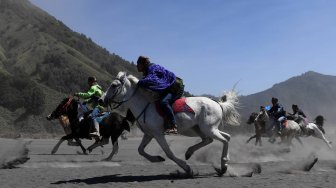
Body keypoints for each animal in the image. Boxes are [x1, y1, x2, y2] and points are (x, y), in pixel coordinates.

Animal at [101, 71, 240, 176]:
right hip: (200, 129)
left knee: (224, 140)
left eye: (114, 85)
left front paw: (187, 168)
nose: (101, 100)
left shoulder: (158, 134)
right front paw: (157, 158)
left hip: (208, 129)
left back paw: (223, 166)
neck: (146, 106)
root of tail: (218, 104)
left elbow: (169, 153)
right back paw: (192, 153)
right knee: (218, 138)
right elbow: (140, 150)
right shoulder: (149, 134)